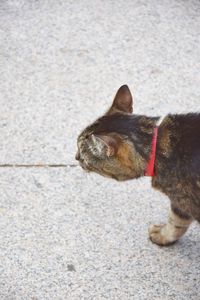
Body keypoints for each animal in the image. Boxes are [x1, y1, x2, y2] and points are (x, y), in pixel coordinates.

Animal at [75, 85, 200, 246]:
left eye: (83, 157)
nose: (75, 157)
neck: (158, 148)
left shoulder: (182, 201)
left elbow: (175, 223)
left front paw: (162, 236)